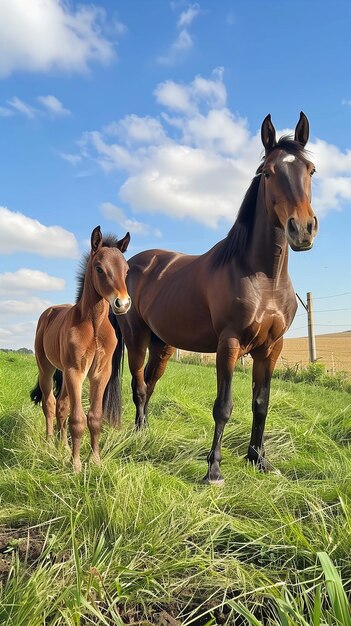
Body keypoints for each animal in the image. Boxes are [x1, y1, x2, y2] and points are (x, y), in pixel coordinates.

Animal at [31, 224, 131, 468]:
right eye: (99, 269)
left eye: (126, 270)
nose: (122, 303)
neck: (93, 325)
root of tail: (49, 311)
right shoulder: (75, 371)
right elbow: (77, 419)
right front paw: (76, 465)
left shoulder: (100, 373)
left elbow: (94, 418)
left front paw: (95, 460)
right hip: (47, 369)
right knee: (49, 403)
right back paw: (50, 443)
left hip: (64, 374)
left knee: (61, 406)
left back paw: (63, 446)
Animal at [104, 112, 320, 480]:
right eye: (268, 172)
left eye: (311, 170)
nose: (302, 229)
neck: (263, 277)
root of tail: (129, 265)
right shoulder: (228, 345)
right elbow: (223, 406)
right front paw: (214, 469)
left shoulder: (271, 348)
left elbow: (261, 404)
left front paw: (258, 459)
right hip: (136, 338)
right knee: (138, 385)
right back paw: (139, 434)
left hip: (163, 345)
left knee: (150, 384)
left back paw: (146, 431)